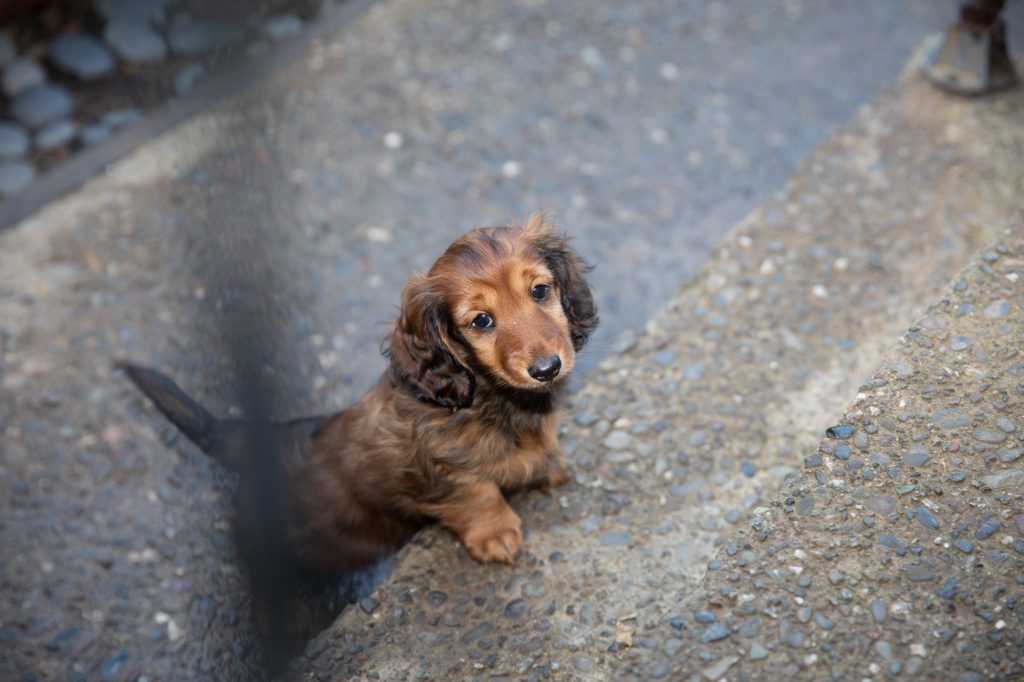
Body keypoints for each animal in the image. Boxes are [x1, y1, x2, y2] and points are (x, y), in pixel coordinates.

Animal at [122, 214, 598, 577]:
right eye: (481, 320)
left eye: (540, 290)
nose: (547, 368)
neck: (489, 398)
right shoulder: (440, 474)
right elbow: (476, 495)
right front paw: (495, 533)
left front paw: (548, 468)